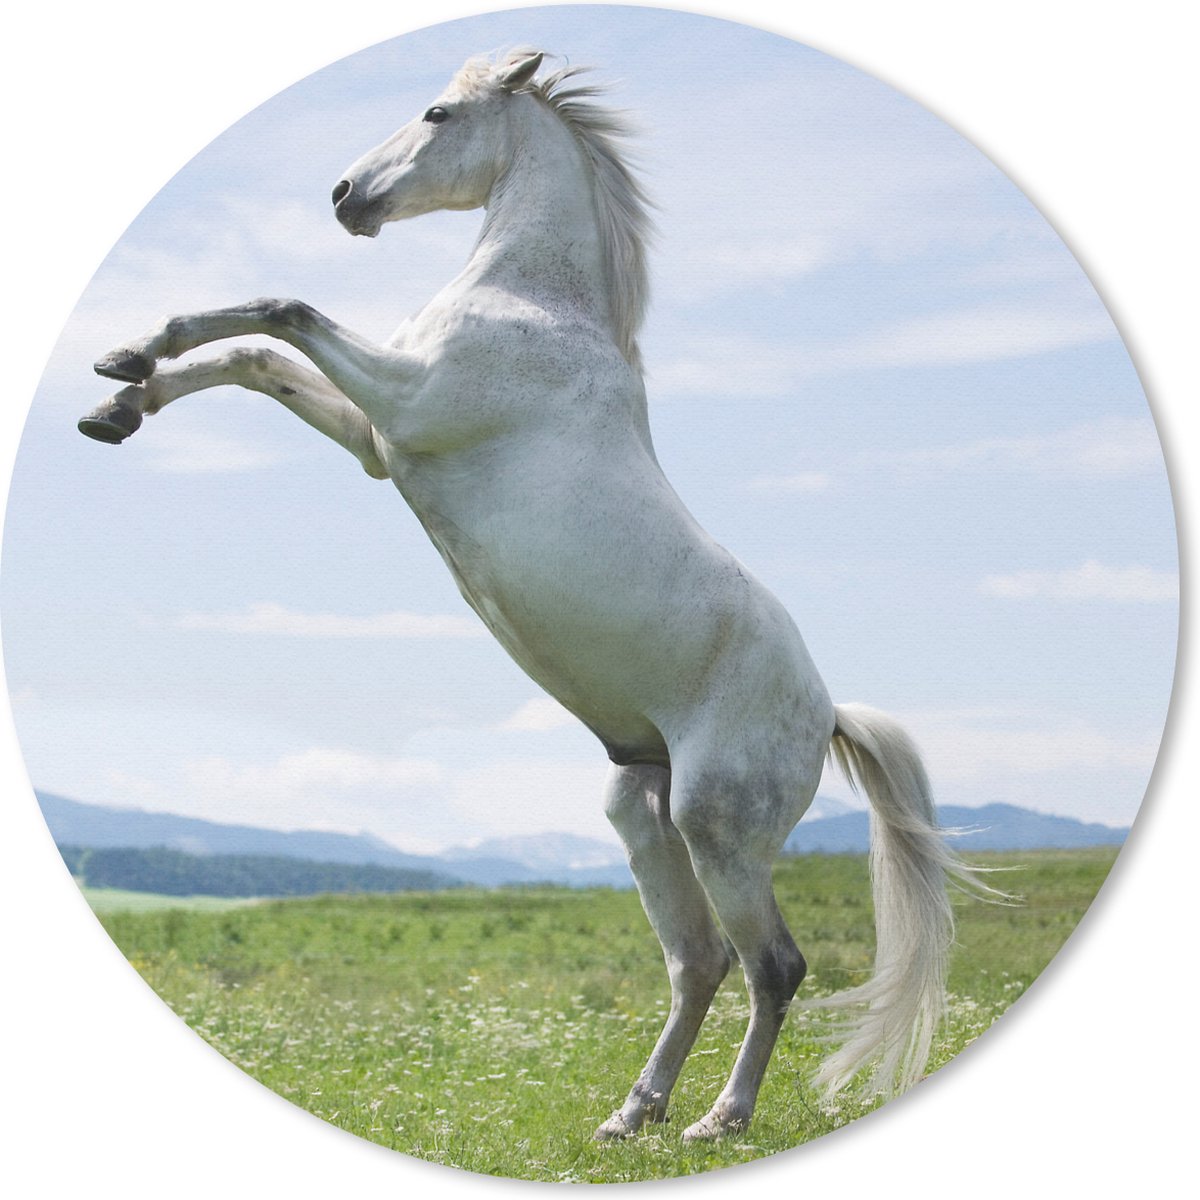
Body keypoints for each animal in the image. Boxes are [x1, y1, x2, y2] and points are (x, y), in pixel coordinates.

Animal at [79, 49, 995, 1141]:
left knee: (773, 965)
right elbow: (254, 358)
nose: (345, 196)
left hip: (719, 831)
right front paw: (119, 391)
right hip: (645, 814)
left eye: (438, 112)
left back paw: (717, 1118)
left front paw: (132, 363)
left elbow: (282, 313)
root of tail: (827, 714)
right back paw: (631, 1115)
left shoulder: (405, 401)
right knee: (699, 962)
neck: (533, 305)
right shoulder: (376, 439)